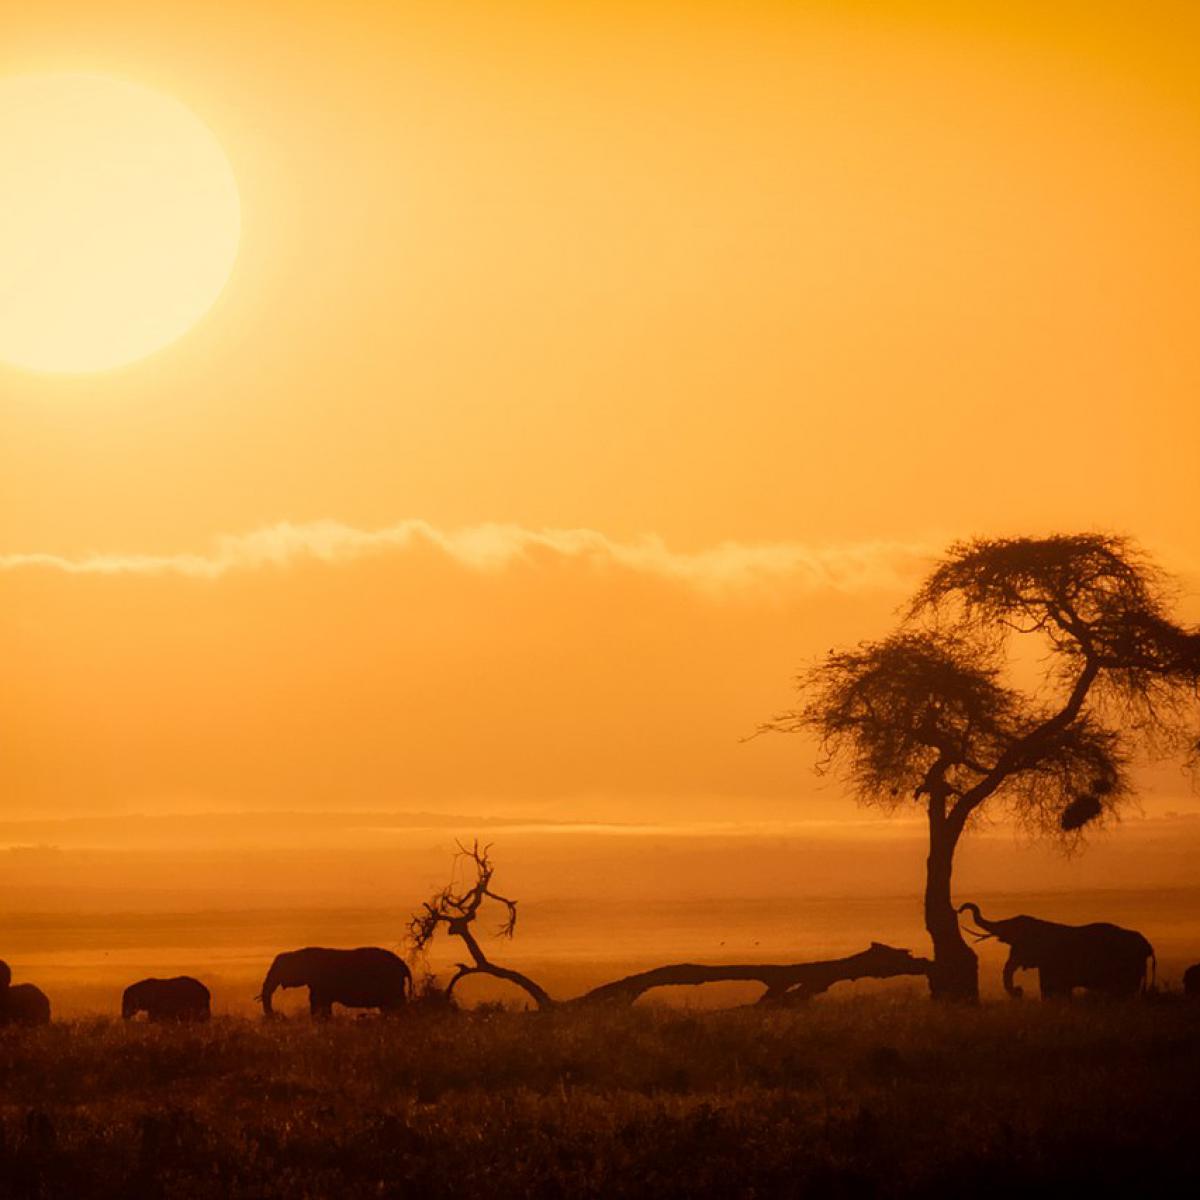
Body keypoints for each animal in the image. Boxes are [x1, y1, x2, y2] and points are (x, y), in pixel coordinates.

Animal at [259, 945, 412, 1022]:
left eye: (278, 968)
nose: (276, 1015)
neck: (298, 953)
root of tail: (402, 964)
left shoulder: (320, 983)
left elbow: (319, 1002)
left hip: (391, 983)